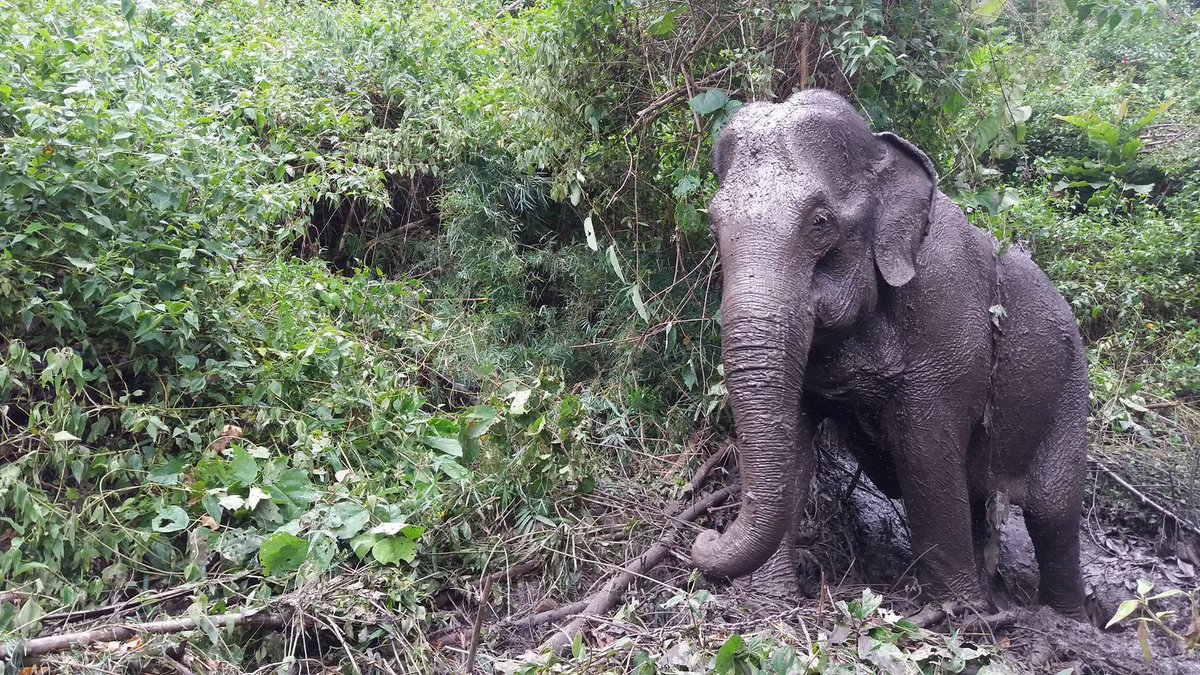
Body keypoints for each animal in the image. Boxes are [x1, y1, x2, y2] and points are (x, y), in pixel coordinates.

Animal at [690, 89, 1088, 617]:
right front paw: (766, 601)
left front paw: (958, 615)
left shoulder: (947, 321)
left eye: (820, 223)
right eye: (714, 224)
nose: (704, 536)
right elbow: (794, 441)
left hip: (1070, 391)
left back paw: (1064, 617)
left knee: (1053, 512)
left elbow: (926, 452)